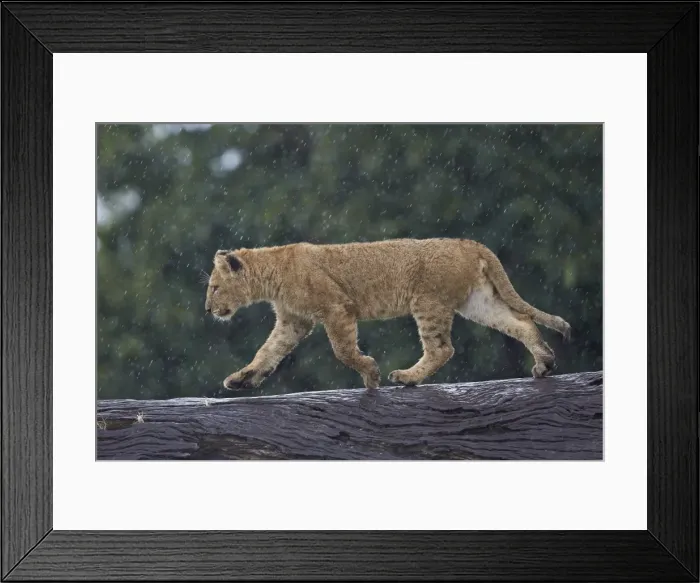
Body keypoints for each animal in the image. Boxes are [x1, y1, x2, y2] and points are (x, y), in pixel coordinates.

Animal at [204, 238, 572, 391]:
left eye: (214, 287)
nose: (207, 309)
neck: (272, 272)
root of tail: (469, 243)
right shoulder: (293, 322)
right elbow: (266, 353)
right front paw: (242, 379)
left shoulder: (337, 308)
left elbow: (343, 350)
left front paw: (370, 374)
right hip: (477, 303)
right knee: (521, 323)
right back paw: (544, 363)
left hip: (428, 301)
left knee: (442, 348)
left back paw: (407, 377)